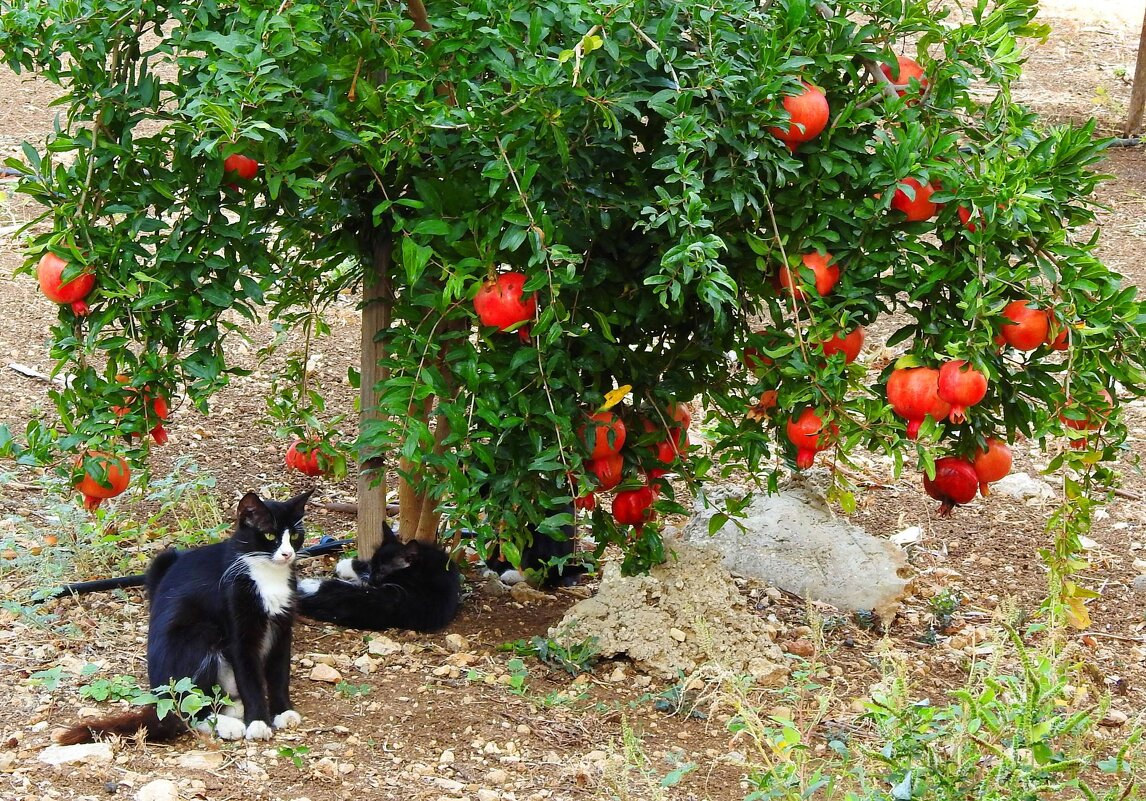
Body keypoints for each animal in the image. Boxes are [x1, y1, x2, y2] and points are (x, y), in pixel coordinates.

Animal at [56, 488, 311, 747]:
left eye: (295, 536)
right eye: (270, 535)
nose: (288, 554)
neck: (267, 576)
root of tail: (159, 697)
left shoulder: (282, 627)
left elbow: (279, 672)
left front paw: (282, 712)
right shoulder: (238, 628)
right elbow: (249, 678)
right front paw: (258, 723)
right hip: (198, 632)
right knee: (186, 708)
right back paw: (229, 724)